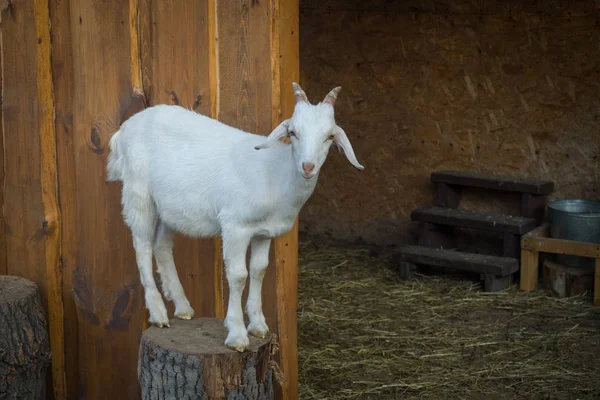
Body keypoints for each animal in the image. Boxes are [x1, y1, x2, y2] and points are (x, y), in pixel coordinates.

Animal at [105, 82, 364, 350]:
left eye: (330, 136)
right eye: (293, 132)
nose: (308, 167)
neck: (276, 172)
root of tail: (124, 129)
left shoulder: (264, 232)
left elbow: (259, 269)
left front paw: (258, 325)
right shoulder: (235, 226)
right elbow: (239, 275)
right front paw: (237, 334)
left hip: (169, 206)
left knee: (162, 246)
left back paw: (183, 306)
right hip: (138, 193)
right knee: (142, 246)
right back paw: (158, 313)